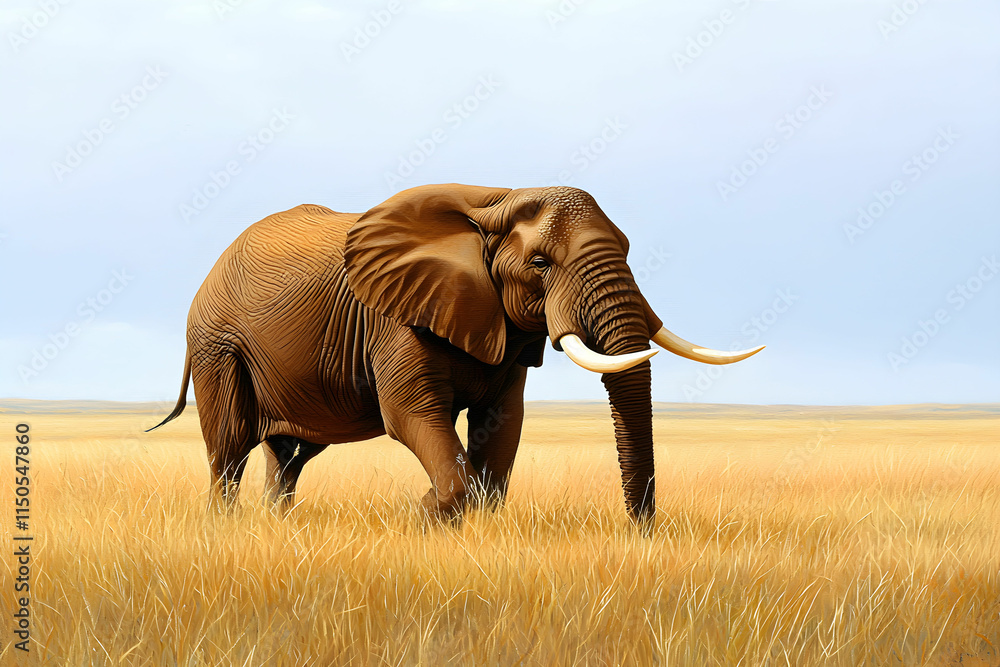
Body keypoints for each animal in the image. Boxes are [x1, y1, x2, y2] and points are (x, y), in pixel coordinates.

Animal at [149, 184, 762, 526]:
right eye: (540, 263)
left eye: (630, 249)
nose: (641, 532)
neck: (494, 201)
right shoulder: (395, 317)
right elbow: (412, 415)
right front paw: (421, 514)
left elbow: (503, 423)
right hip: (218, 347)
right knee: (229, 448)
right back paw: (226, 530)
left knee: (290, 454)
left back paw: (278, 528)